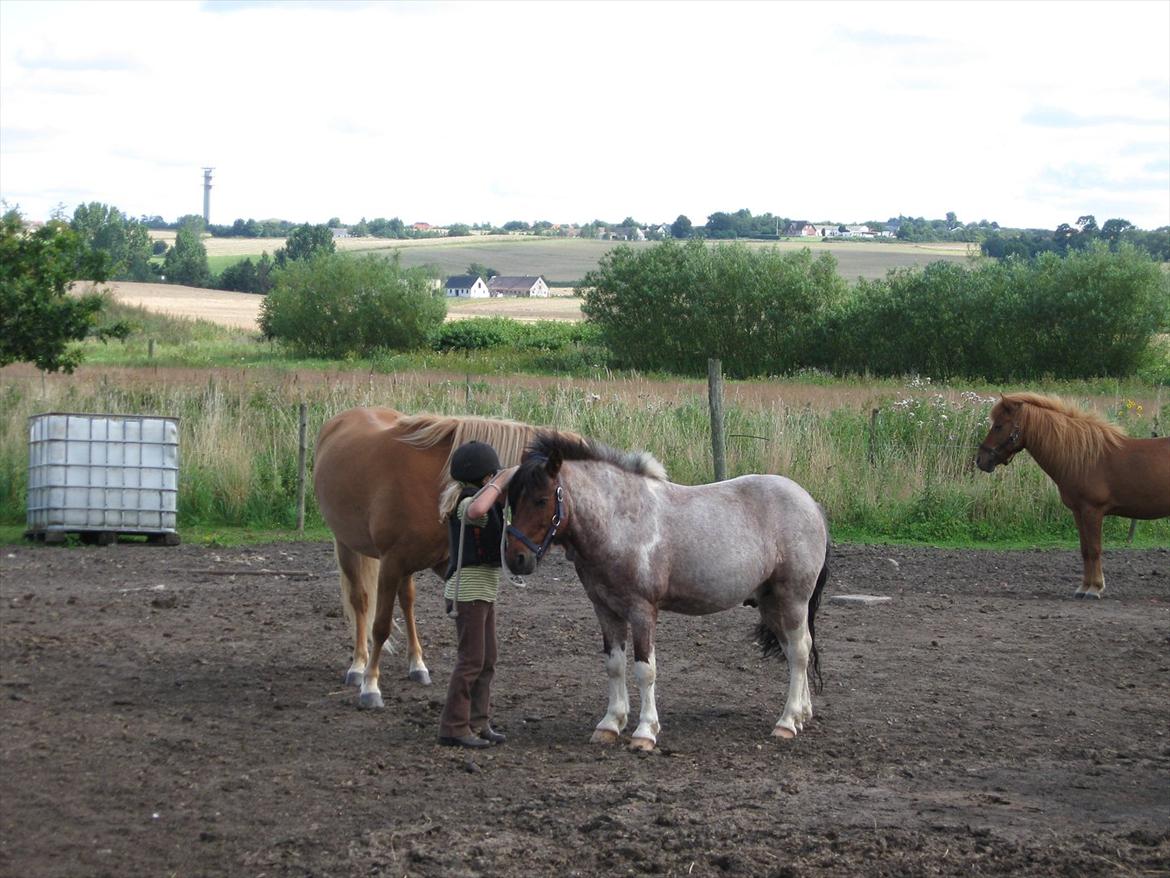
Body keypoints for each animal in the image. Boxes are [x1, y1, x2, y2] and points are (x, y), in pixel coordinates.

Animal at [315, 409, 542, 711]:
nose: (523, 559)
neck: (436, 481)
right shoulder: (391, 563)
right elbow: (381, 625)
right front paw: (371, 686)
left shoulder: (438, 562)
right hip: (348, 546)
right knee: (361, 601)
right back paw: (358, 666)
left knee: (407, 602)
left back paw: (417, 664)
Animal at [505, 433, 833, 749]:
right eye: (512, 501)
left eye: (541, 500)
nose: (515, 558)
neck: (620, 521)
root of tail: (811, 504)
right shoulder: (605, 610)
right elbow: (614, 665)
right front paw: (610, 724)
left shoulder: (642, 611)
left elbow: (644, 670)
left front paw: (645, 732)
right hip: (771, 603)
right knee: (794, 649)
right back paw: (802, 714)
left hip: (793, 599)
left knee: (800, 651)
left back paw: (787, 722)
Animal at [978, 395, 1170, 604]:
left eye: (998, 426)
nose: (980, 460)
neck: (1083, 458)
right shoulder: (1078, 512)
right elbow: (1085, 550)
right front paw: (1083, 587)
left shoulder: (1092, 511)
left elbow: (1094, 549)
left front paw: (1095, 588)